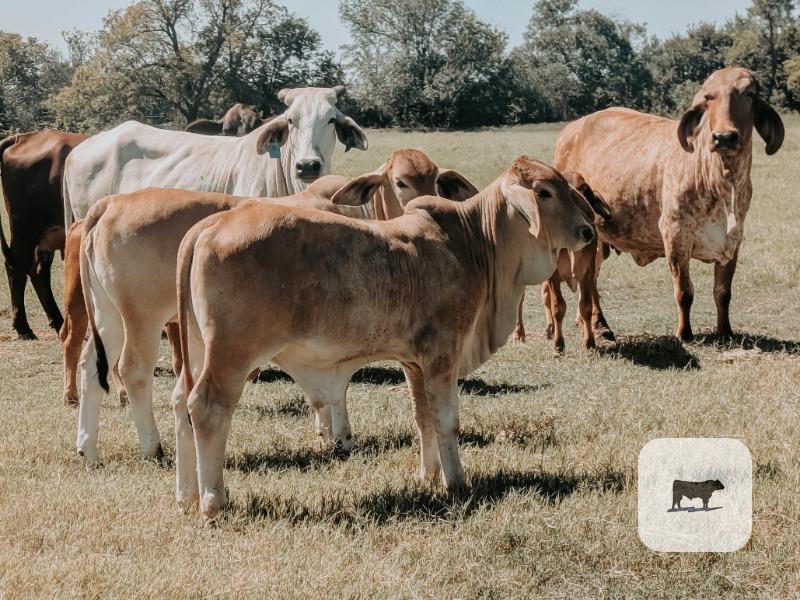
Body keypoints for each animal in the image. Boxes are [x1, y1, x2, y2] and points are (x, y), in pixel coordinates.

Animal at [0, 130, 87, 339]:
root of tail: (23, 137)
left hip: (45, 236)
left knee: (38, 271)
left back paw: (58, 321)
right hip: (25, 227)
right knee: (17, 268)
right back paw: (23, 327)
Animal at [72, 152, 476, 463]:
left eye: (436, 180)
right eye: (400, 182)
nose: (422, 208)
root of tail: (109, 204)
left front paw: (332, 433)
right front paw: (338, 434)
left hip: (109, 316)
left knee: (90, 366)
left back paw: (87, 448)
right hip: (142, 318)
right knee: (133, 370)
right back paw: (152, 447)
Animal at [173, 156, 595, 519]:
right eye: (544, 191)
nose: (588, 230)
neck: (473, 244)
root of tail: (210, 226)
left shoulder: (414, 362)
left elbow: (422, 418)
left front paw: (428, 476)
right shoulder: (443, 354)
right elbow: (446, 421)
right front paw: (457, 482)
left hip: (197, 349)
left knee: (181, 402)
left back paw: (187, 493)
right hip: (232, 354)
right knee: (207, 409)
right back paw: (213, 501)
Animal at [512, 172, 614, 353]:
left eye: (584, 191)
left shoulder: (587, 271)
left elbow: (585, 306)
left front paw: (589, 341)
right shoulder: (554, 274)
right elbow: (558, 306)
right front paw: (558, 345)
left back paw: (550, 329)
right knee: (522, 299)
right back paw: (519, 334)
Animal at [553, 68, 784, 342]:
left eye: (749, 94)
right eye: (708, 97)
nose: (724, 137)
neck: (722, 182)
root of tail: (571, 129)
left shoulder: (733, 239)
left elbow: (723, 292)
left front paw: (725, 330)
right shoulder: (675, 235)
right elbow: (684, 292)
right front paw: (684, 333)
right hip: (592, 240)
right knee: (591, 282)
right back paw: (600, 325)